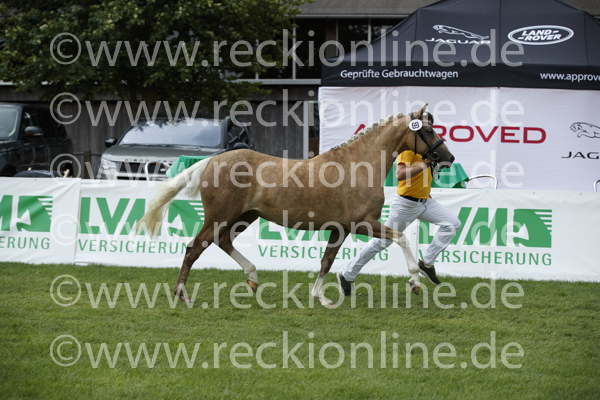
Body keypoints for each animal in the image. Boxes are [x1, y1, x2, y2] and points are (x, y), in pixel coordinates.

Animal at [137, 105, 454, 307]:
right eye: (427, 130)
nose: (448, 157)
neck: (359, 165)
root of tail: (211, 161)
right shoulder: (362, 223)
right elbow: (400, 237)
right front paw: (415, 280)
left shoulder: (340, 228)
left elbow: (327, 260)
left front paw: (321, 297)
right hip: (220, 216)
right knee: (195, 247)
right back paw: (183, 295)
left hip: (244, 216)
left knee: (222, 241)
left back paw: (253, 278)